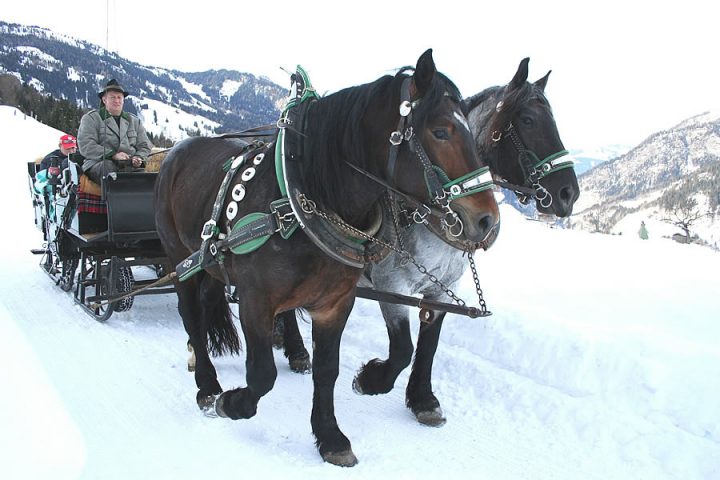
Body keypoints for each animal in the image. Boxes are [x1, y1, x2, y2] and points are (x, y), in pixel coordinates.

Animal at [154, 49, 498, 464]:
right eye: (441, 131)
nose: (487, 221)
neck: (299, 202)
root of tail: (178, 151)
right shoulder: (256, 299)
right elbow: (261, 374)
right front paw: (233, 403)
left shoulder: (336, 303)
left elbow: (329, 369)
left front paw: (331, 435)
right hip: (180, 259)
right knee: (191, 315)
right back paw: (207, 385)